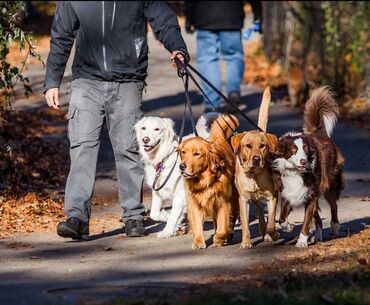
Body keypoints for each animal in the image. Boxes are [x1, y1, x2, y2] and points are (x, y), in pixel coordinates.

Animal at [177, 113, 240, 247]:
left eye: (196, 154)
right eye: (183, 152)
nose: (182, 166)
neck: (204, 180)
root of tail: (218, 140)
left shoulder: (222, 203)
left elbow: (223, 227)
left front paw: (219, 239)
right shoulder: (195, 203)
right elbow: (197, 223)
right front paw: (198, 241)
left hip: (233, 197)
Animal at [230, 87, 278, 247]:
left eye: (262, 146)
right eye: (248, 146)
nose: (256, 159)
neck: (254, 174)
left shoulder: (272, 196)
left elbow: (271, 221)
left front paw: (273, 234)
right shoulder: (243, 200)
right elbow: (245, 224)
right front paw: (246, 242)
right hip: (253, 198)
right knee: (258, 210)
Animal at [274, 86, 346, 247]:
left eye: (306, 149)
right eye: (293, 149)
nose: (303, 161)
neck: (296, 172)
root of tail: (320, 133)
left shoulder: (310, 194)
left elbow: (306, 220)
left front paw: (301, 241)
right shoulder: (288, 191)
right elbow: (282, 218)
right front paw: (288, 226)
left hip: (328, 182)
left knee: (333, 204)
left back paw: (334, 226)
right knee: (318, 217)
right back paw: (317, 235)